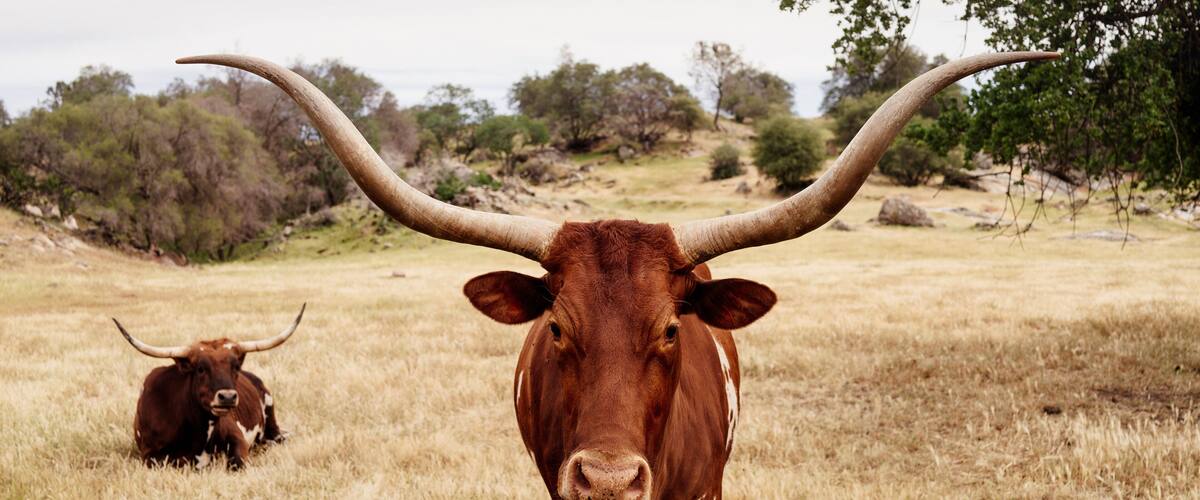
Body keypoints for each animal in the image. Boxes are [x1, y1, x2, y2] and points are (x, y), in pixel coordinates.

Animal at [112, 304, 305, 470]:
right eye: (200, 368)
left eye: (235, 366)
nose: (227, 397)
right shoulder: (149, 456)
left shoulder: (238, 439)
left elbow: (237, 463)